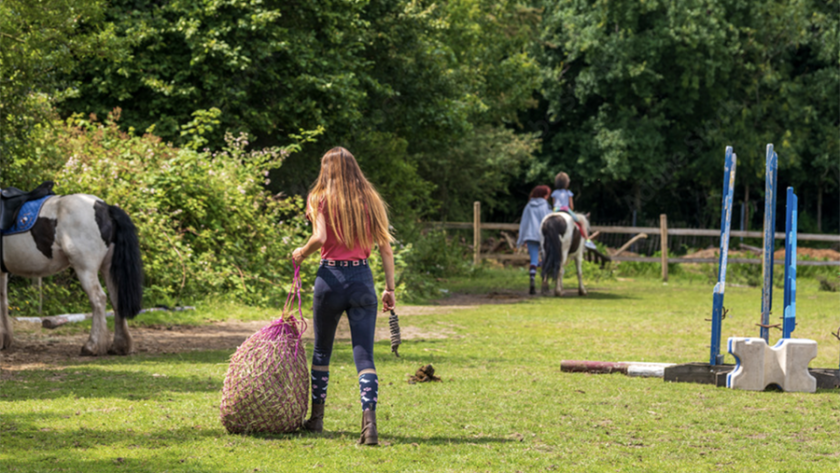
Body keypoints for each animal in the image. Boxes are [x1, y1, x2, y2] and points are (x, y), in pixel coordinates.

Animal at [0, 195, 142, 354]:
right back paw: (120, 346)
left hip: (85, 268)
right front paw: (5, 339)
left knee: (98, 299)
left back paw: (92, 346)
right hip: (108, 268)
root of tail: (104, 207)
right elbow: (3, 301)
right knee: (116, 299)